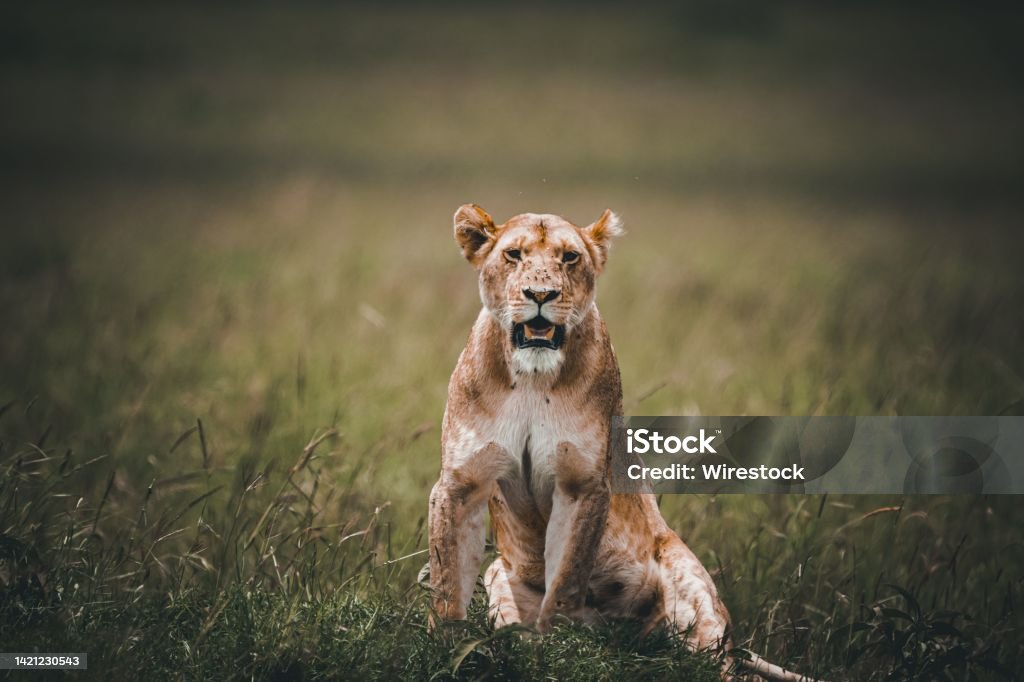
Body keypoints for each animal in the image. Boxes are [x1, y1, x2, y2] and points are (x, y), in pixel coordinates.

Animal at [427, 204, 818, 682]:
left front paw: (556, 651)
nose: (541, 294)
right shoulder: (459, 484)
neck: (532, 377)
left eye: (570, 257)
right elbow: (447, 580)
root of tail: (625, 642)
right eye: (513, 255)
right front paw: (447, 652)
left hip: (692, 593)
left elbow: (566, 579)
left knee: (718, 665)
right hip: (498, 573)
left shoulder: (582, 485)